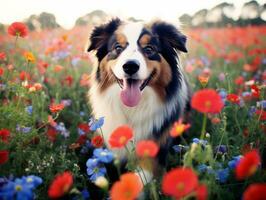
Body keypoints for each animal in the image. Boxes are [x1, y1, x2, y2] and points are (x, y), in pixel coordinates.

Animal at [88, 18, 190, 181]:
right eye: (118, 47)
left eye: (149, 49)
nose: (130, 66)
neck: (133, 108)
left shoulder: (154, 149)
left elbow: (140, 177)